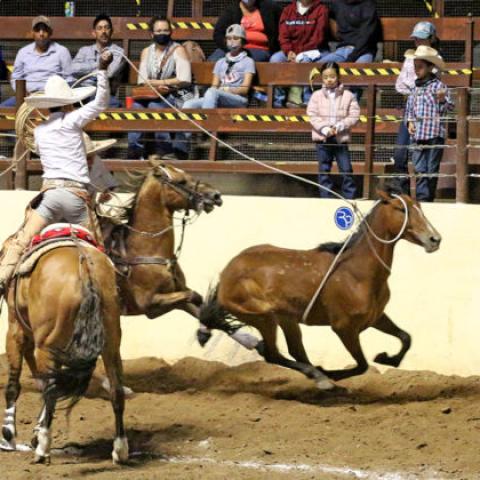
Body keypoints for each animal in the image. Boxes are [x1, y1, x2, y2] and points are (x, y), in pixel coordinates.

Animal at [0, 242, 127, 464]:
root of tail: (85, 270)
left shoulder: (15, 330)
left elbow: (14, 386)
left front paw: (8, 435)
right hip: (111, 344)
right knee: (116, 391)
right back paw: (120, 449)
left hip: (46, 346)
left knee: (50, 391)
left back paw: (42, 449)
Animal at [200, 188, 442, 390]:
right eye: (401, 209)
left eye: (420, 208)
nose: (435, 239)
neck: (356, 272)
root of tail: (227, 272)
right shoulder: (344, 328)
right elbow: (361, 365)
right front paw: (331, 374)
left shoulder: (376, 317)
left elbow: (405, 338)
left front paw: (388, 358)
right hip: (263, 317)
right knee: (273, 354)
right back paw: (321, 378)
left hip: (286, 319)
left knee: (293, 351)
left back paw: (317, 374)